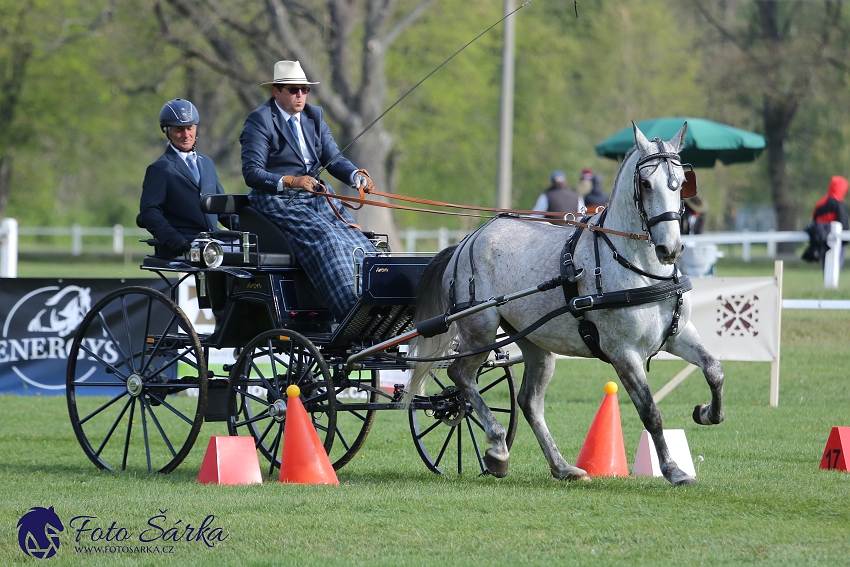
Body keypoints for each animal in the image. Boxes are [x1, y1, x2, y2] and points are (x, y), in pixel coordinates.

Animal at [410, 123, 724, 484]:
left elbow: (714, 370)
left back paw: (562, 466)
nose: (670, 248)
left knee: (529, 401)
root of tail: (467, 241)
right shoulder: (623, 352)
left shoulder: (678, 334)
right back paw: (498, 447)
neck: (638, 268)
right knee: (461, 377)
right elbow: (650, 411)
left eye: (682, 182)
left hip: (534, 343)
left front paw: (707, 412)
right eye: (646, 184)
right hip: (479, 331)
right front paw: (673, 469)